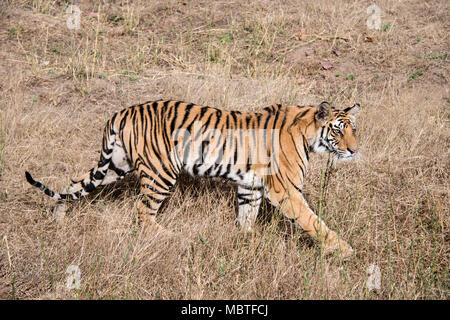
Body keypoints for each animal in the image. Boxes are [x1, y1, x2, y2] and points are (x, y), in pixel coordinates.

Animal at [26, 100, 360, 260]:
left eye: (354, 129)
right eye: (338, 130)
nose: (355, 150)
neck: (308, 134)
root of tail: (122, 113)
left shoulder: (250, 186)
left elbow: (246, 217)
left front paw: (247, 242)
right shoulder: (286, 190)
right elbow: (314, 221)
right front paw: (344, 251)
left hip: (115, 165)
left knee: (73, 183)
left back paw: (58, 216)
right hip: (160, 172)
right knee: (142, 211)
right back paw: (171, 238)